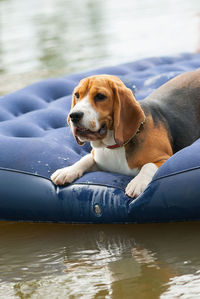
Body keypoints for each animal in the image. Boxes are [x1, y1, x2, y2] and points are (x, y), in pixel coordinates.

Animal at [50, 69, 200, 198]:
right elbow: (86, 158)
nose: (74, 115)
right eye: (77, 95)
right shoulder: (99, 159)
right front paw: (67, 171)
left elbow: (148, 165)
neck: (115, 146)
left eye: (100, 96)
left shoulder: (165, 158)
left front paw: (138, 182)